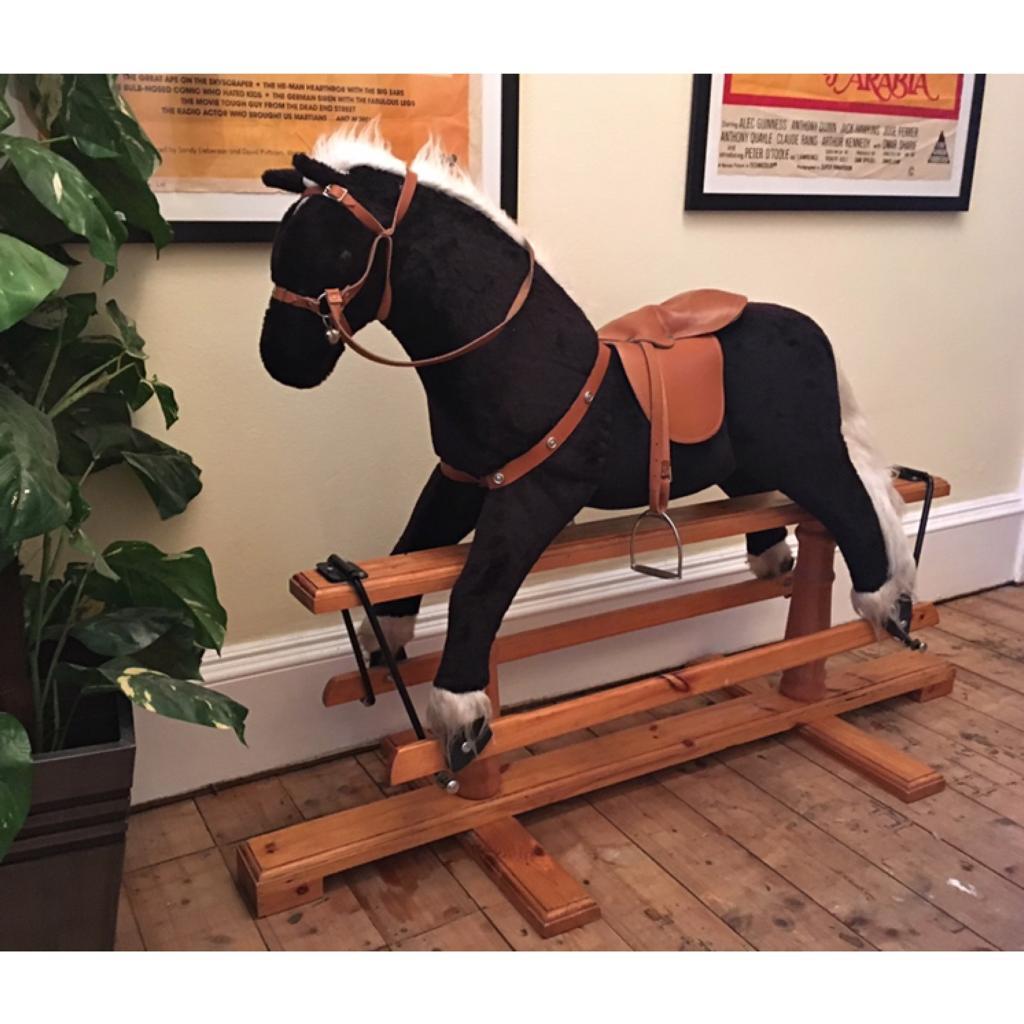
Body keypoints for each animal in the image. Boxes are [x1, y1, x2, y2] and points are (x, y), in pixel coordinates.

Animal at [258, 123, 916, 760]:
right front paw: (387, 636)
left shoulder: (539, 489)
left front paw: (460, 714)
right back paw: (775, 559)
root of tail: (811, 330)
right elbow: (411, 542)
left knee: (855, 505)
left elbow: (480, 584)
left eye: (342, 251)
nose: (280, 362)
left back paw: (888, 605)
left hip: (807, 452)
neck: (522, 361)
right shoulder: (459, 477)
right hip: (745, 460)